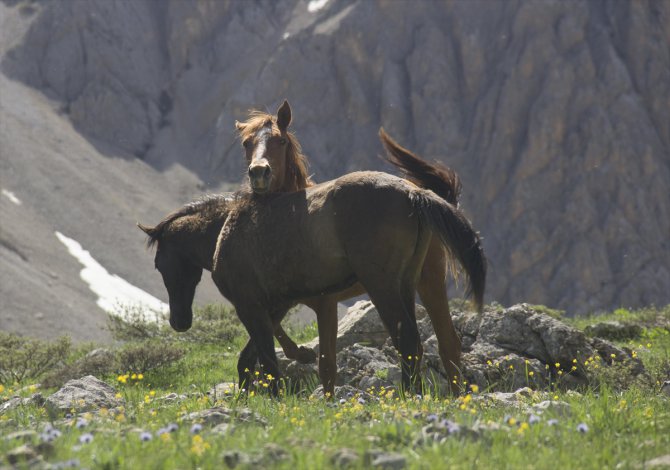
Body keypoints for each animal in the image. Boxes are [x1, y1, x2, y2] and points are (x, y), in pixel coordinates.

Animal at [236, 101, 472, 394]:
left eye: (281, 141)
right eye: (246, 143)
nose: (259, 173)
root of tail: (417, 194)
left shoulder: (324, 304)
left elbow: (326, 366)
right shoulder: (277, 300)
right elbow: (258, 345)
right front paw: (298, 354)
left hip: (416, 282)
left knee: (426, 342)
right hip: (413, 283)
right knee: (445, 343)